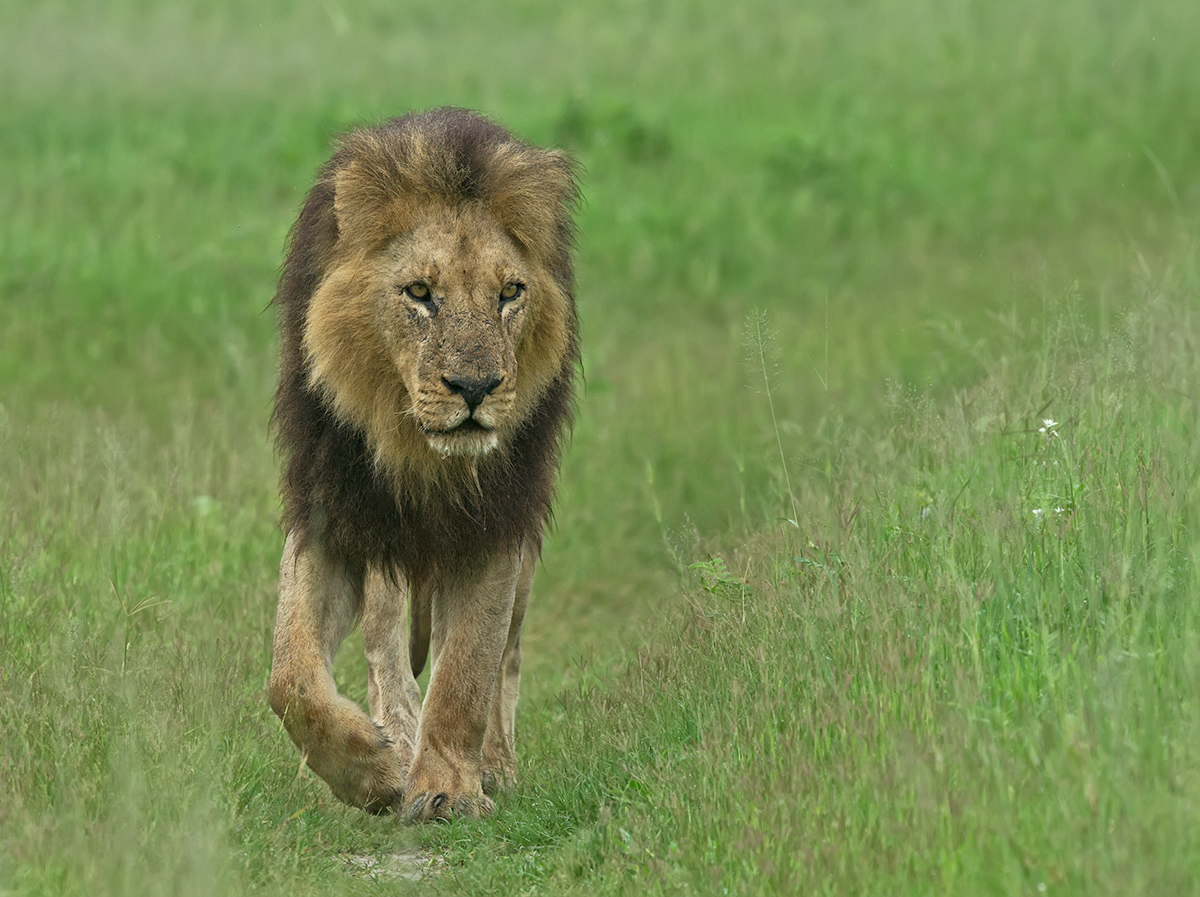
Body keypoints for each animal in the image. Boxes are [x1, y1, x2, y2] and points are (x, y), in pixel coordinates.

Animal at [267, 108, 579, 822]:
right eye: (419, 292)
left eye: (510, 292)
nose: (475, 387)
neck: (420, 455)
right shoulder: (331, 517)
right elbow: (291, 675)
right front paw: (371, 771)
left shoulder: (496, 525)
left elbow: (467, 670)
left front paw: (448, 788)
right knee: (384, 648)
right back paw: (393, 735)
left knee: (504, 654)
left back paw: (493, 764)